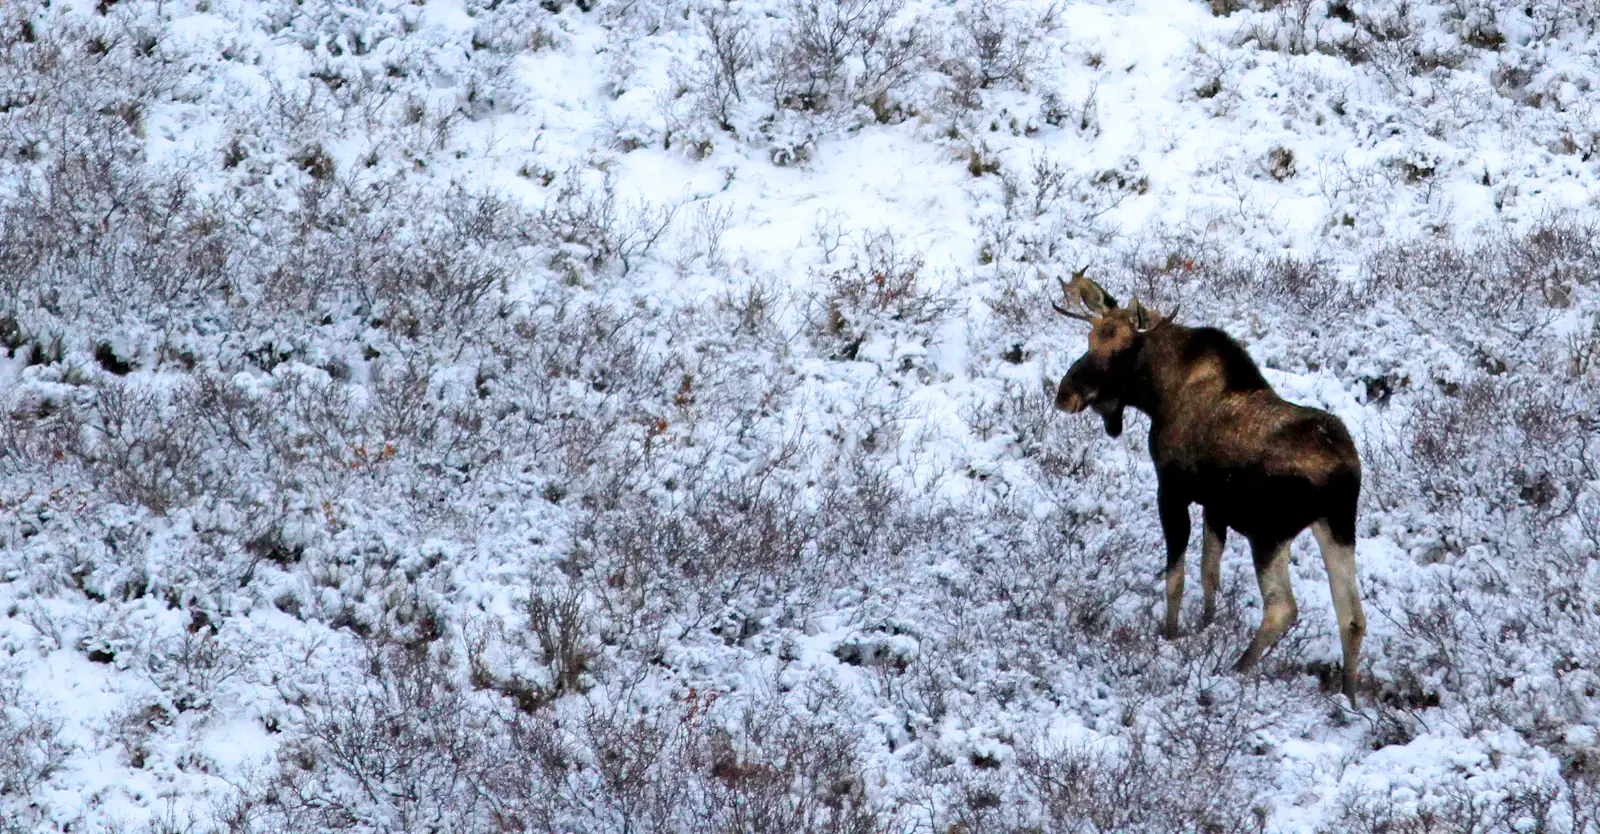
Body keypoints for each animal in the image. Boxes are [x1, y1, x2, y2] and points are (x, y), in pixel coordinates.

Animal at [1050, 270, 1366, 706]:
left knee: (1282, 607)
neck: (1157, 396)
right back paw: (1349, 697)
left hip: (1270, 532)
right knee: (1352, 615)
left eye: (1122, 351)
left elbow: (1176, 577)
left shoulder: (1173, 491)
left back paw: (1237, 669)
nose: (1066, 394)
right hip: (1337, 526)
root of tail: (1342, 473)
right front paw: (1206, 628)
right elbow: (1209, 573)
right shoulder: (1215, 507)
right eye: (1090, 339)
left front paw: (1170, 635)